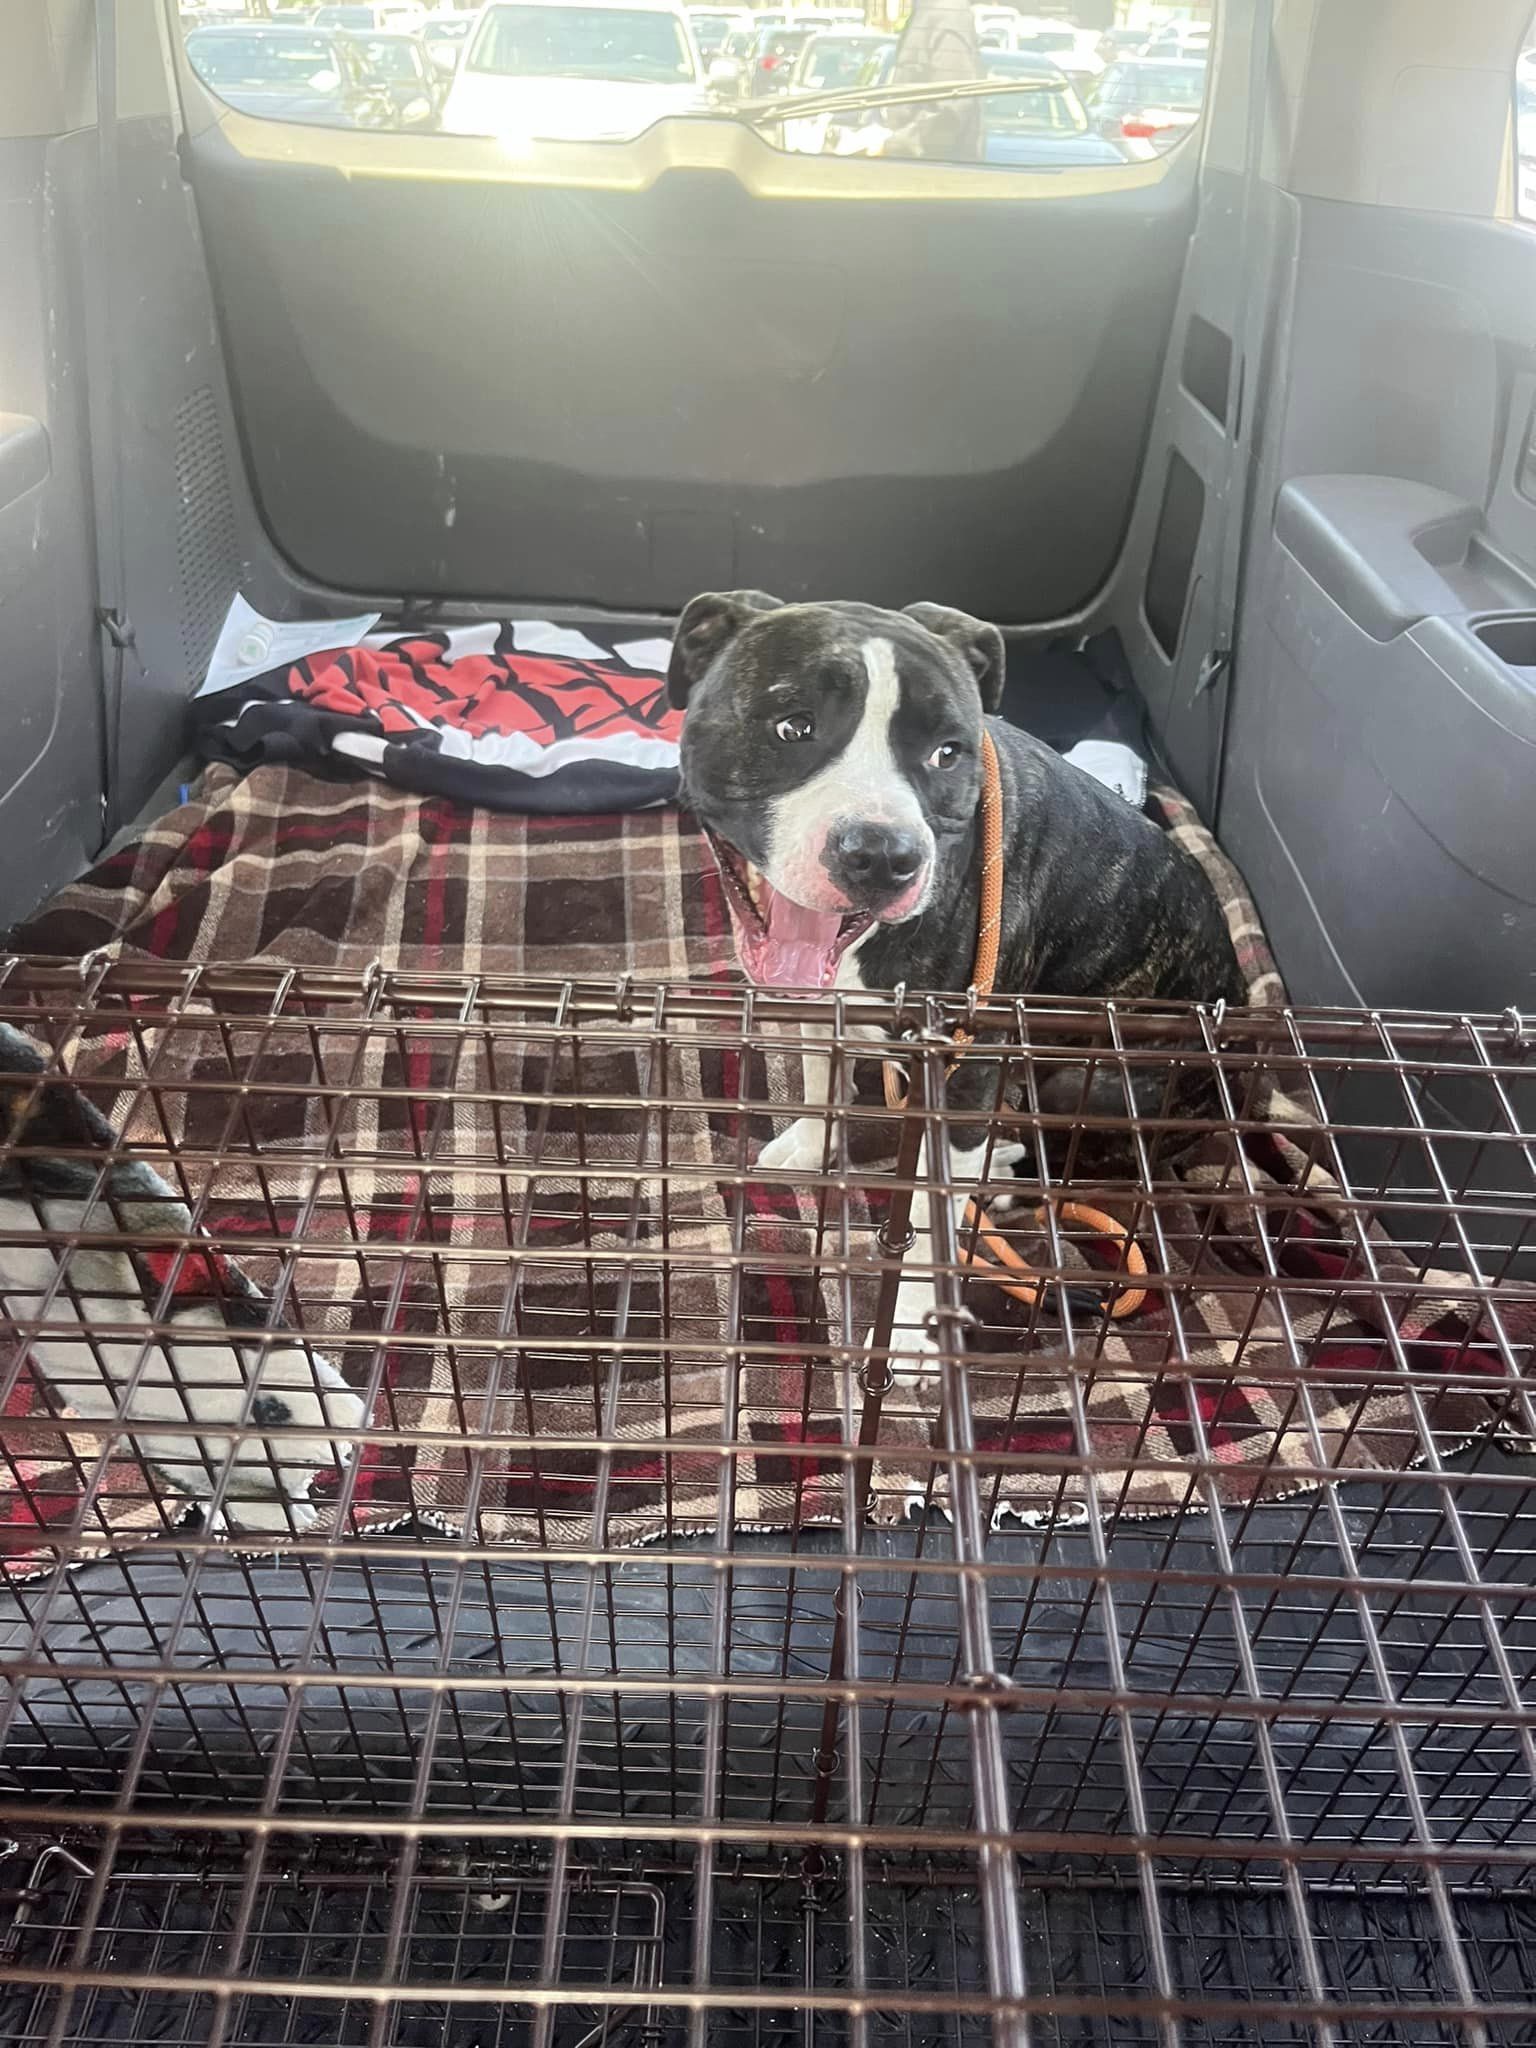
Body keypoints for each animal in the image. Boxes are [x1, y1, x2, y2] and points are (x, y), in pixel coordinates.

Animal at [671, 585, 1253, 1368]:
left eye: (947, 754)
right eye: (793, 726)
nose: (882, 854)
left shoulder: (968, 1070)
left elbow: (928, 1218)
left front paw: (912, 1325)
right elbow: (824, 1080)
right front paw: (811, 1143)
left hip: (1101, 1079)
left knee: (1084, 1157)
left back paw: (1005, 1169)